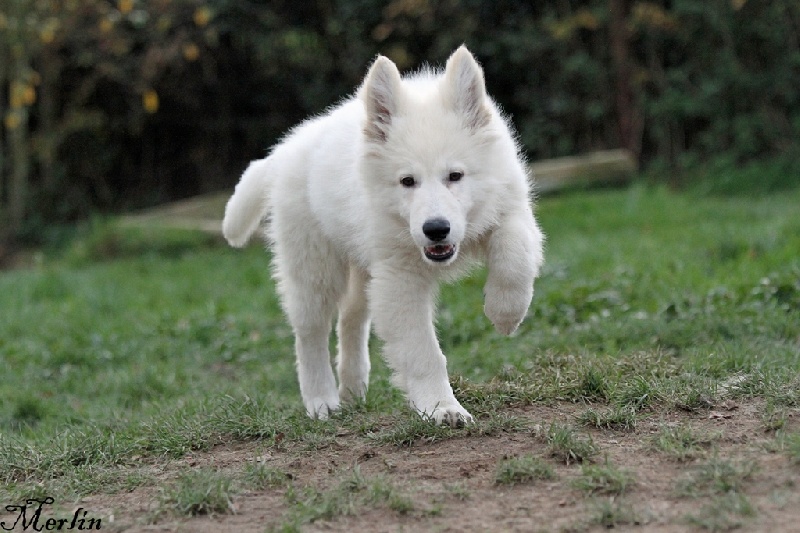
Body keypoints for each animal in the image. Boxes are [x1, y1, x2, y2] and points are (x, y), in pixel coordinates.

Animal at [219, 46, 544, 428]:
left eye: (455, 176)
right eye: (407, 181)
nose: (436, 229)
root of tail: (286, 150)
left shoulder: (511, 209)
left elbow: (515, 255)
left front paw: (505, 313)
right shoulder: (399, 278)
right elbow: (422, 351)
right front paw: (442, 407)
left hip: (362, 265)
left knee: (351, 317)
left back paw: (353, 387)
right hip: (314, 265)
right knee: (311, 331)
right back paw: (322, 400)